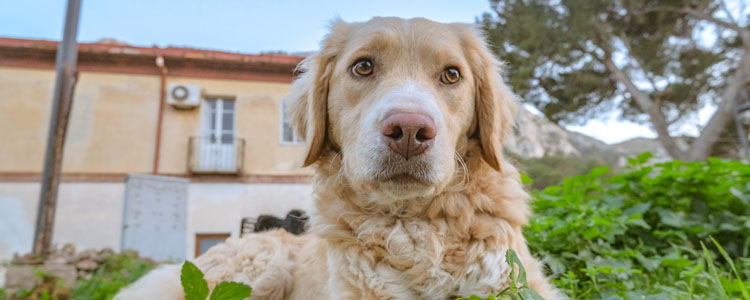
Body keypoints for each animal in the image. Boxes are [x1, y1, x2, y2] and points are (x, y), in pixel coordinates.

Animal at [114, 18, 564, 300]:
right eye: (362, 67)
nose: (409, 130)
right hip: (261, 267)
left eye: (452, 75)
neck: (414, 225)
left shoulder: (516, 283)